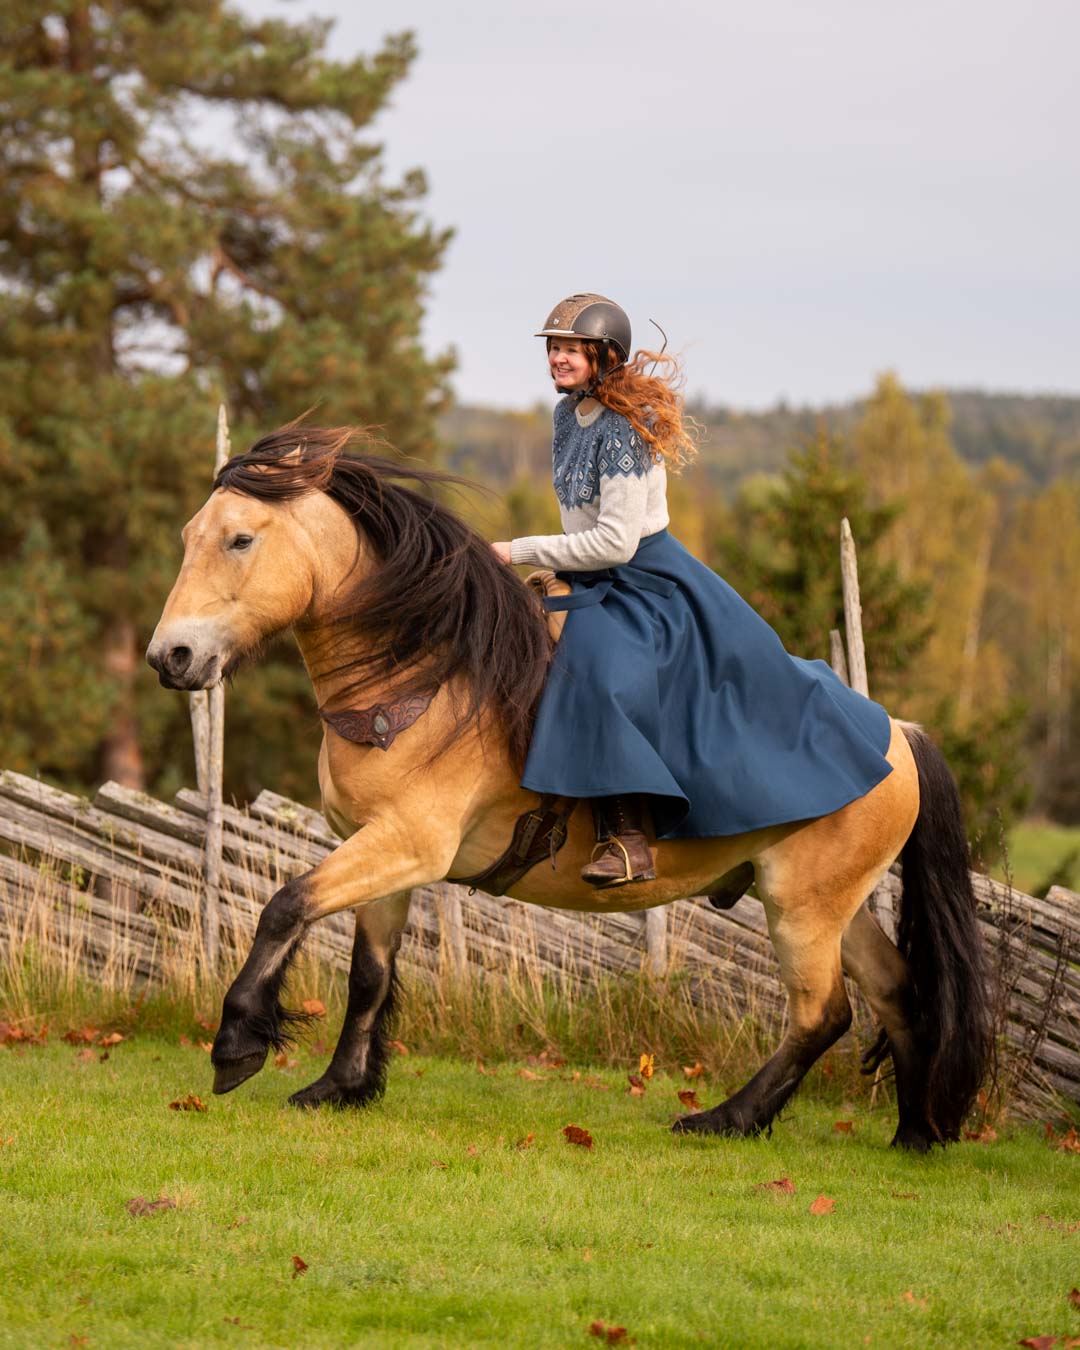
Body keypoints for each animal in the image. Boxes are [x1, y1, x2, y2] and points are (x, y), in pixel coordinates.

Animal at [147, 423, 993, 1150]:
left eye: (241, 538)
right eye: (186, 538)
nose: (171, 657)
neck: (428, 673)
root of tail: (897, 734)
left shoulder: (408, 843)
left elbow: (286, 905)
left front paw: (238, 1042)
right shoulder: (382, 850)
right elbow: (368, 974)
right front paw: (342, 1086)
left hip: (801, 908)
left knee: (823, 1014)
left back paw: (727, 1118)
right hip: (831, 905)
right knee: (900, 993)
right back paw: (914, 1132)